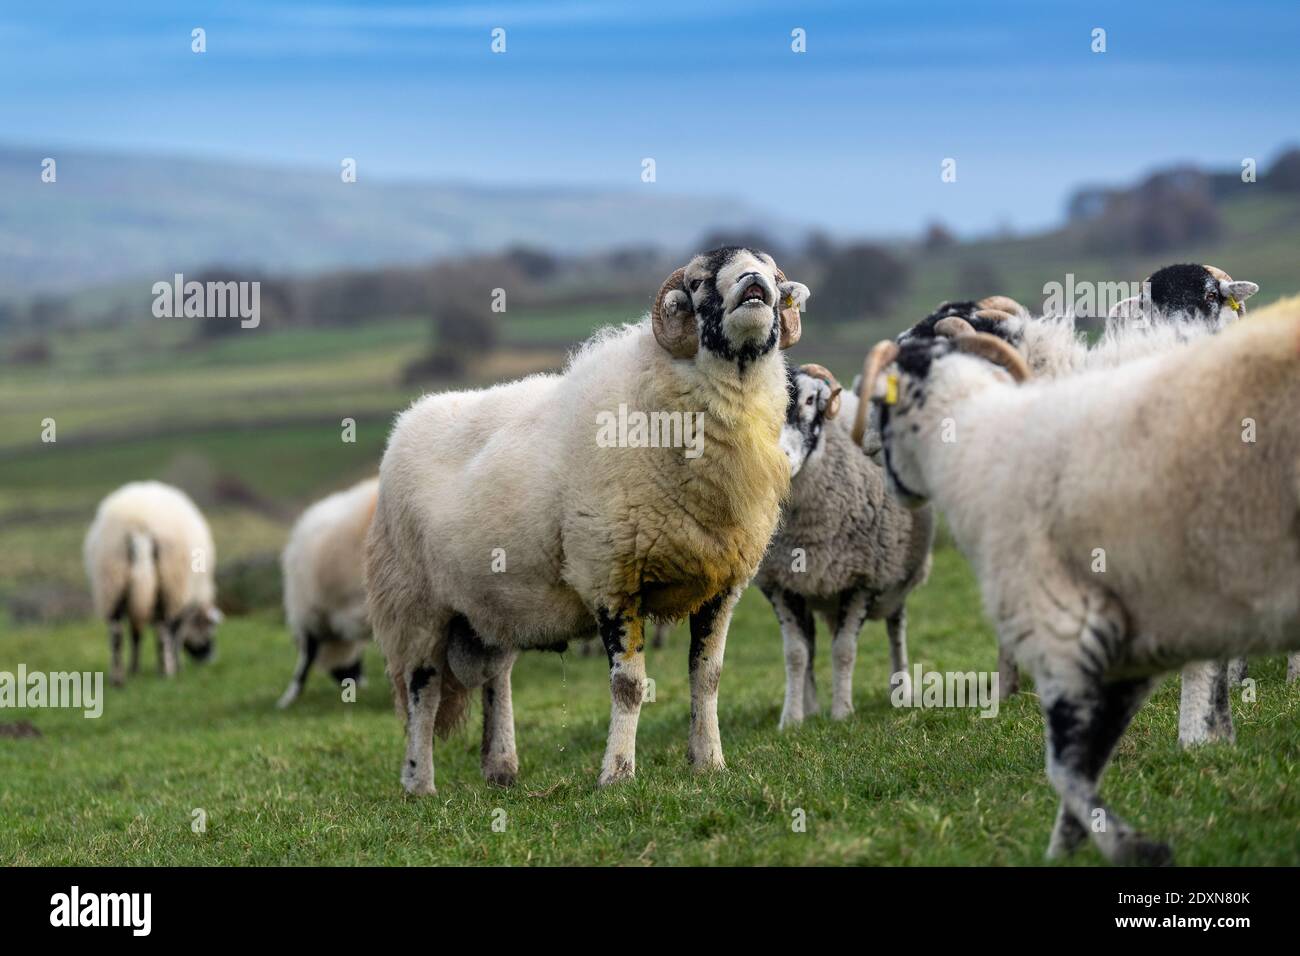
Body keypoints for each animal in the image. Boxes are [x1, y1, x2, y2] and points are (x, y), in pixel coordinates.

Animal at [83, 481, 222, 686]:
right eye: (209, 628)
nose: (210, 658)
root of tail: (140, 525)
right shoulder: (182, 602)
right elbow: (176, 633)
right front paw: (177, 666)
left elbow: (136, 634)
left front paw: (134, 669)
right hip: (168, 583)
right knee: (162, 629)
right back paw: (166, 672)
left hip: (111, 581)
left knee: (116, 633)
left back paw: (118, 679)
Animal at [366, 247, 806, 790]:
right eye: (700, 281)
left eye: (770, 273)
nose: (752, 284)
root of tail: (407, 420)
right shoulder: (612, 578)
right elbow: (629, 685)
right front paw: (617, 774)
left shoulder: (721, 584)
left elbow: (707, 677)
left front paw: (710, 761)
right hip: (415, 604)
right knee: (421, 690)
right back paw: (418, 783)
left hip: (489, 600)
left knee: (496, 676)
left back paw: (501, 768)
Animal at [759, 361, 930, 728]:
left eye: (811, 399)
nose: (780, 460)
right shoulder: (779, 583)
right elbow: (795, 654)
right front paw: (792, 720)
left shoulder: (863, 579)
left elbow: (844, 650)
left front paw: (842, 713)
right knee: (809, 644)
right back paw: (811, 706)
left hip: (896, 578)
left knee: (896, 628)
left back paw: (902, 691)